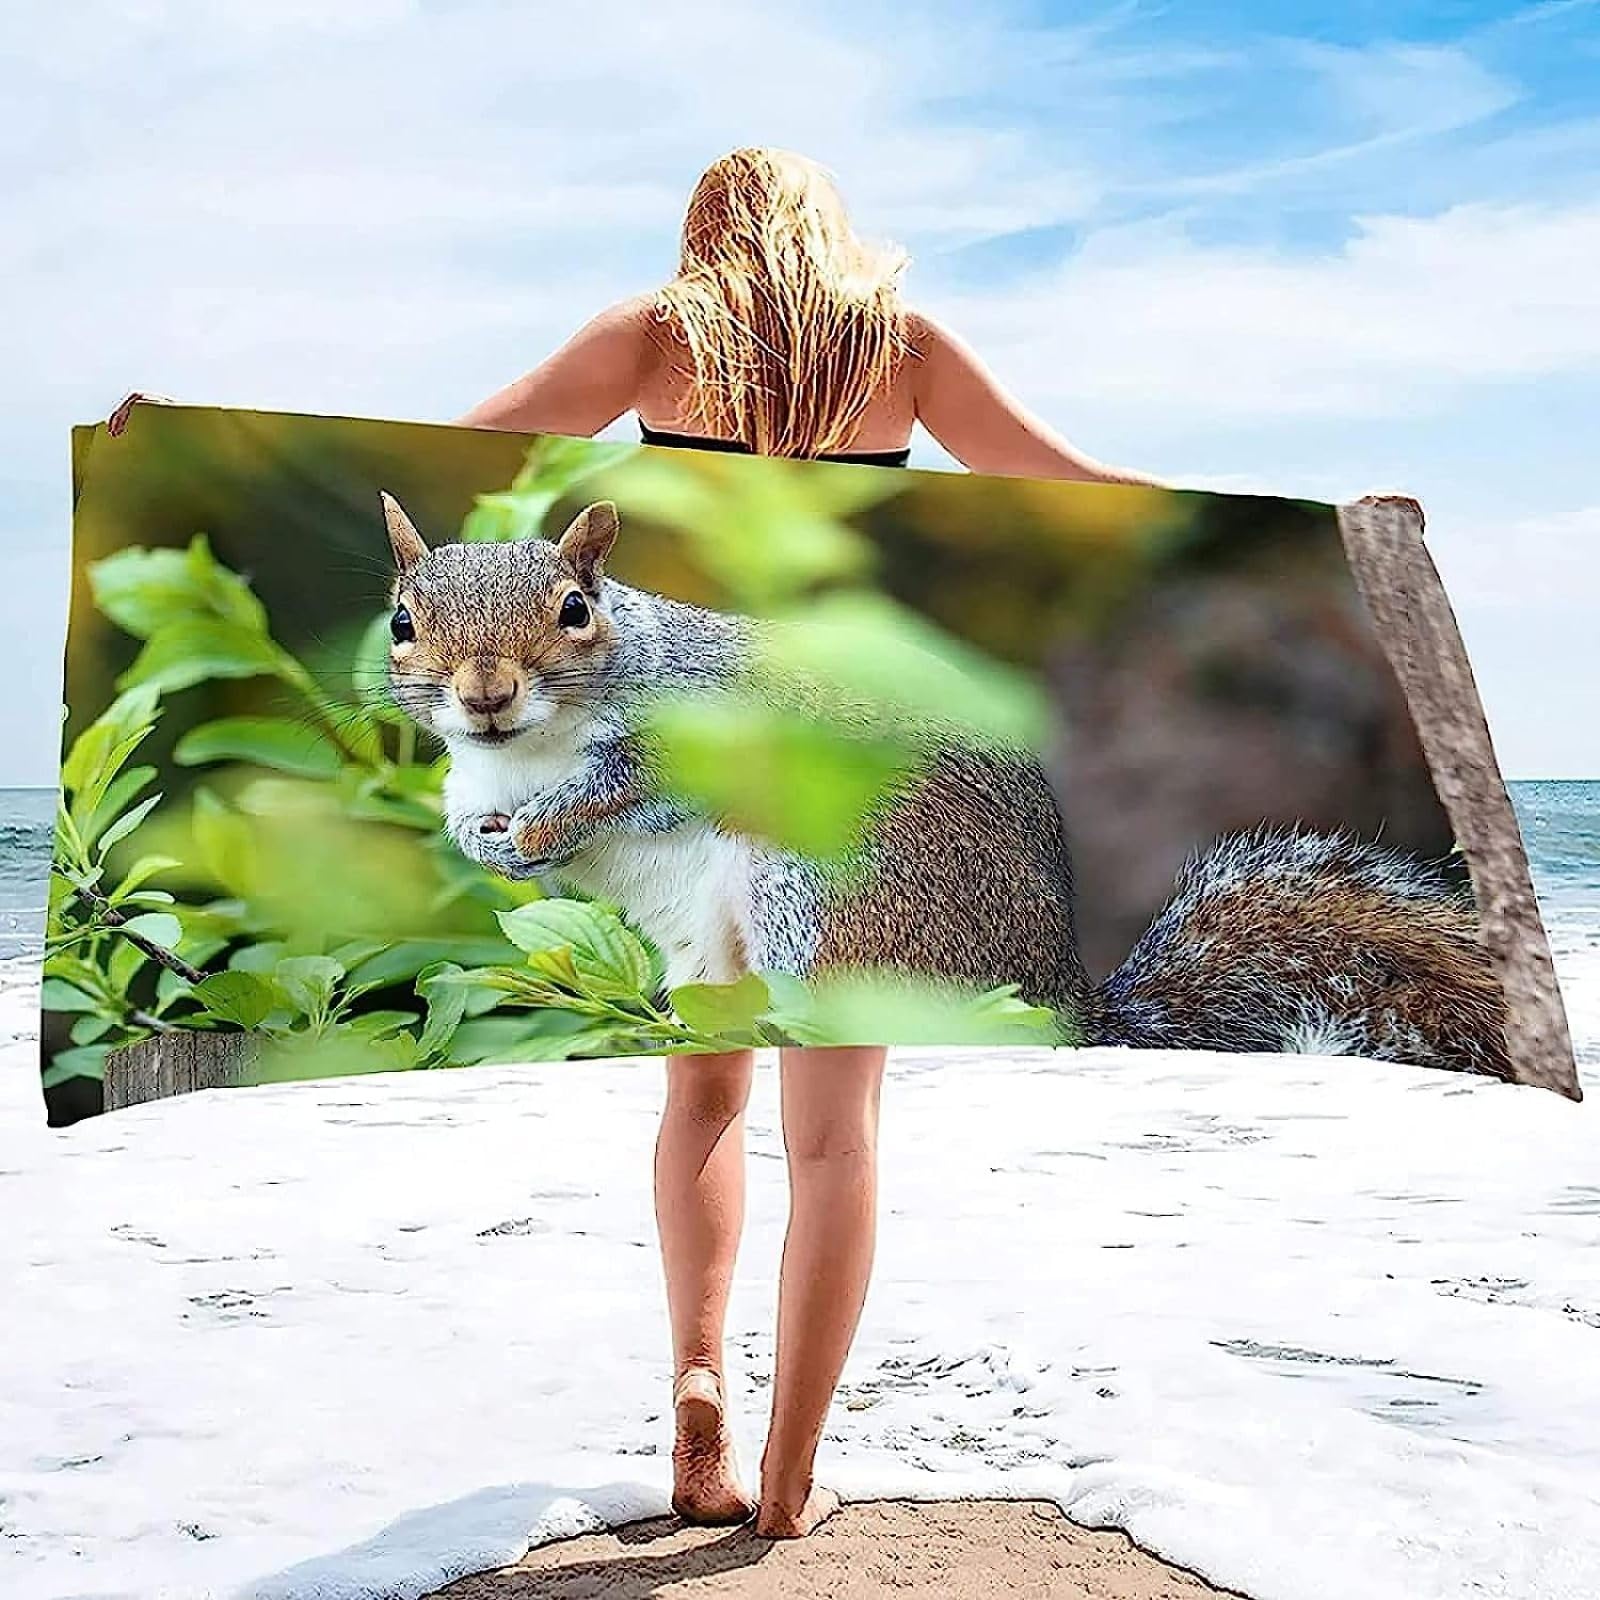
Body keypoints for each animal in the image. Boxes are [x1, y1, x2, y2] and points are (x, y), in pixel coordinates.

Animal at [380, 492, 1511, 1078]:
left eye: (575, 609)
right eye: (401, 619)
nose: (484, 693)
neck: (525, 750)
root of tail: (1057, 1008)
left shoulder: (706, 728)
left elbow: (626, 787)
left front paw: (543, 831)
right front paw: (490, 841)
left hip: (819, 889)